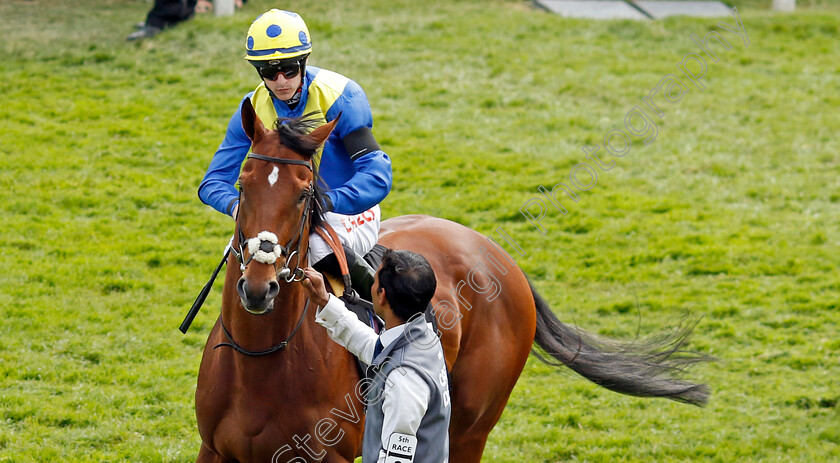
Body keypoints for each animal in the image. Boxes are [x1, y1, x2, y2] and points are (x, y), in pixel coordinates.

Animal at [195, 99, 708, 462]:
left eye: (303, 195)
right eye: (242, 185)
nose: (259, 286)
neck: (262, 359)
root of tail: (497, 253)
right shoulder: (215, 450)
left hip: (469, 427)